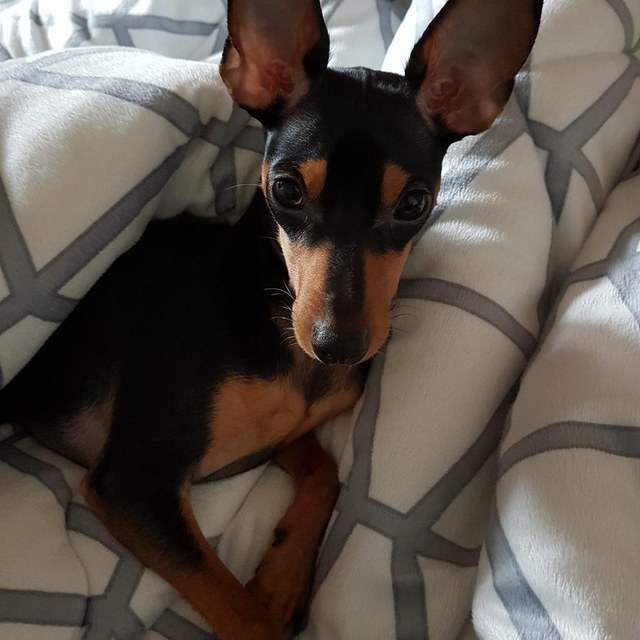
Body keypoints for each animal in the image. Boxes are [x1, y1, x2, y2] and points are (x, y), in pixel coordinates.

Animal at [0, 0, 542, 638]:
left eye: (414, 203)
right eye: (285, 190)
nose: (338, 345)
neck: (277, 321)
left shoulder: (285, 433)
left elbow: (328, 472)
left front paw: (282, 580)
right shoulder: (131, 484)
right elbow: (237, 609)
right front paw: (265, 600)